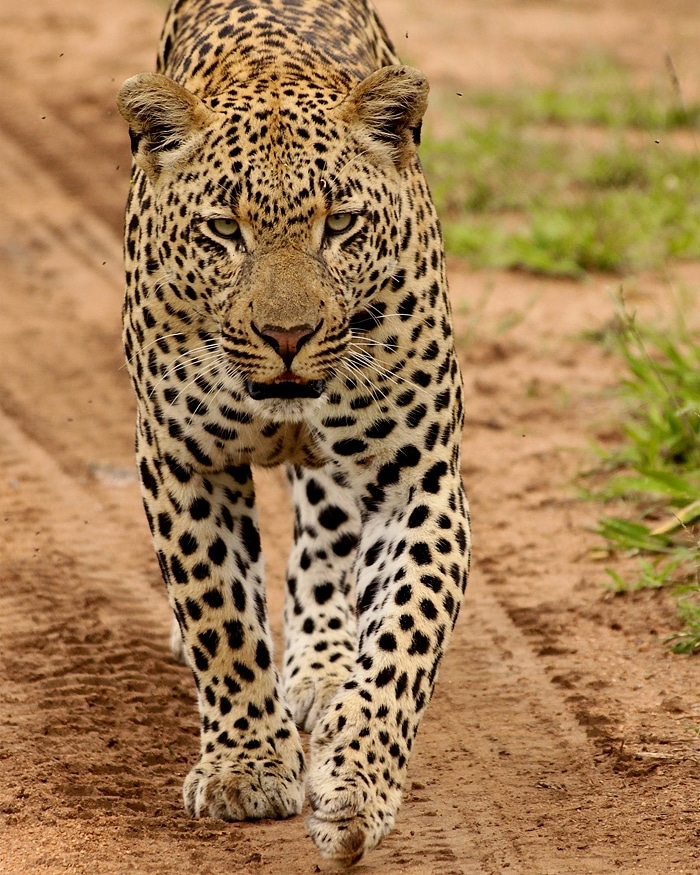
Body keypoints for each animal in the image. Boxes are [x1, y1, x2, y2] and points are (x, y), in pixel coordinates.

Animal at [117, 0, 471, 863]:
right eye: (222, 230)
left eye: (340, 223)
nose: (287, 335)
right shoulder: (182, 462)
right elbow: (219, 612)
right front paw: (245, 766)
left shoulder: (418, 478)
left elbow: (404, 638)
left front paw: (356, 784)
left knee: (323, 542)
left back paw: (321, 663)